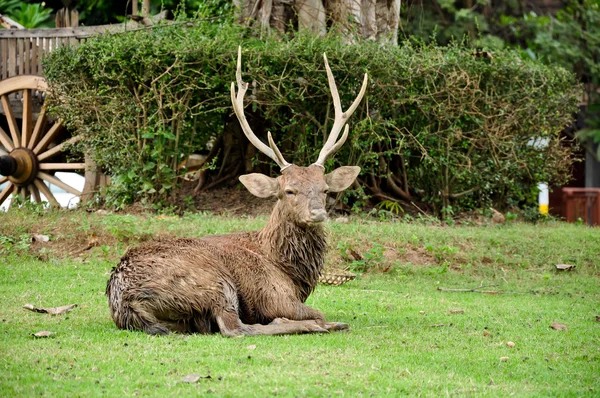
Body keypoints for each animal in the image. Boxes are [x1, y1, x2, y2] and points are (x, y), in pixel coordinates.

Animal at [107, 46, 368, 336]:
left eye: (324, 189)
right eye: (289, 191)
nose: (318, 213)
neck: (288, 270)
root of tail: (125, 299)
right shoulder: (272, 294)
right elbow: (316, 312)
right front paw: (321, 320)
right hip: (215, 282)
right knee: (235, 328)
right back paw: (318, 324)